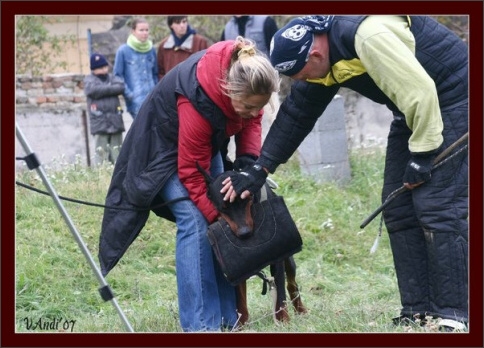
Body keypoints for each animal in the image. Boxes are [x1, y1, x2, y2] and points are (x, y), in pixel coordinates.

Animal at [197, 163, 306, 326]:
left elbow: (280, 290)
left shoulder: (278, 256)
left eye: (245, 199)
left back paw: (301, 310)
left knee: (291, 283)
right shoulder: (238, 268)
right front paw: (241, 323)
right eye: (224, 207)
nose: (245, 233)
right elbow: (240, 295)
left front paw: (283, 320)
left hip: (289, 259)